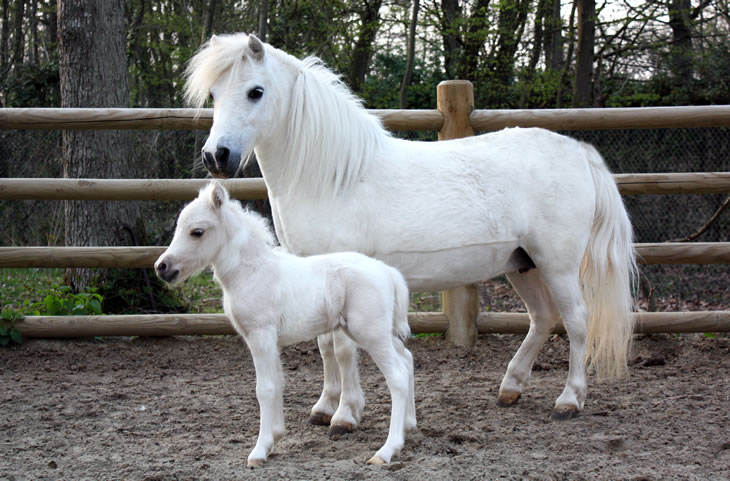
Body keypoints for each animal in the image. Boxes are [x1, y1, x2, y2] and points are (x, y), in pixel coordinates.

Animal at [154, 180, 416, 464]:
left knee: (397, 376)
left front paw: (259, 450)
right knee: (407, 359)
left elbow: (265, 388)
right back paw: (409, 425)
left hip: (371, 333)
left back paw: (387, 450)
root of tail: (387, 272)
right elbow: (278, 383)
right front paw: (275, 438)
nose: (162, 267)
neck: (252, 272)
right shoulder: (267, 341)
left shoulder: (261, 336)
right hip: (375, 332)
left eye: (197, 232)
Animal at [185, 32, 636, 424]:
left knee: (576, 319)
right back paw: (511, 387)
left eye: (255, 91)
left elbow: (343, 349)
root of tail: (577, 151)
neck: (334, 178)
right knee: (542, 318)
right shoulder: (315, 276)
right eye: (214, 95)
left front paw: (345, 414)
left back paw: (569, 399)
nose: (216, 156)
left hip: (557, 264)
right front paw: (325, 407)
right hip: (521, 263)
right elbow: (326, 344)